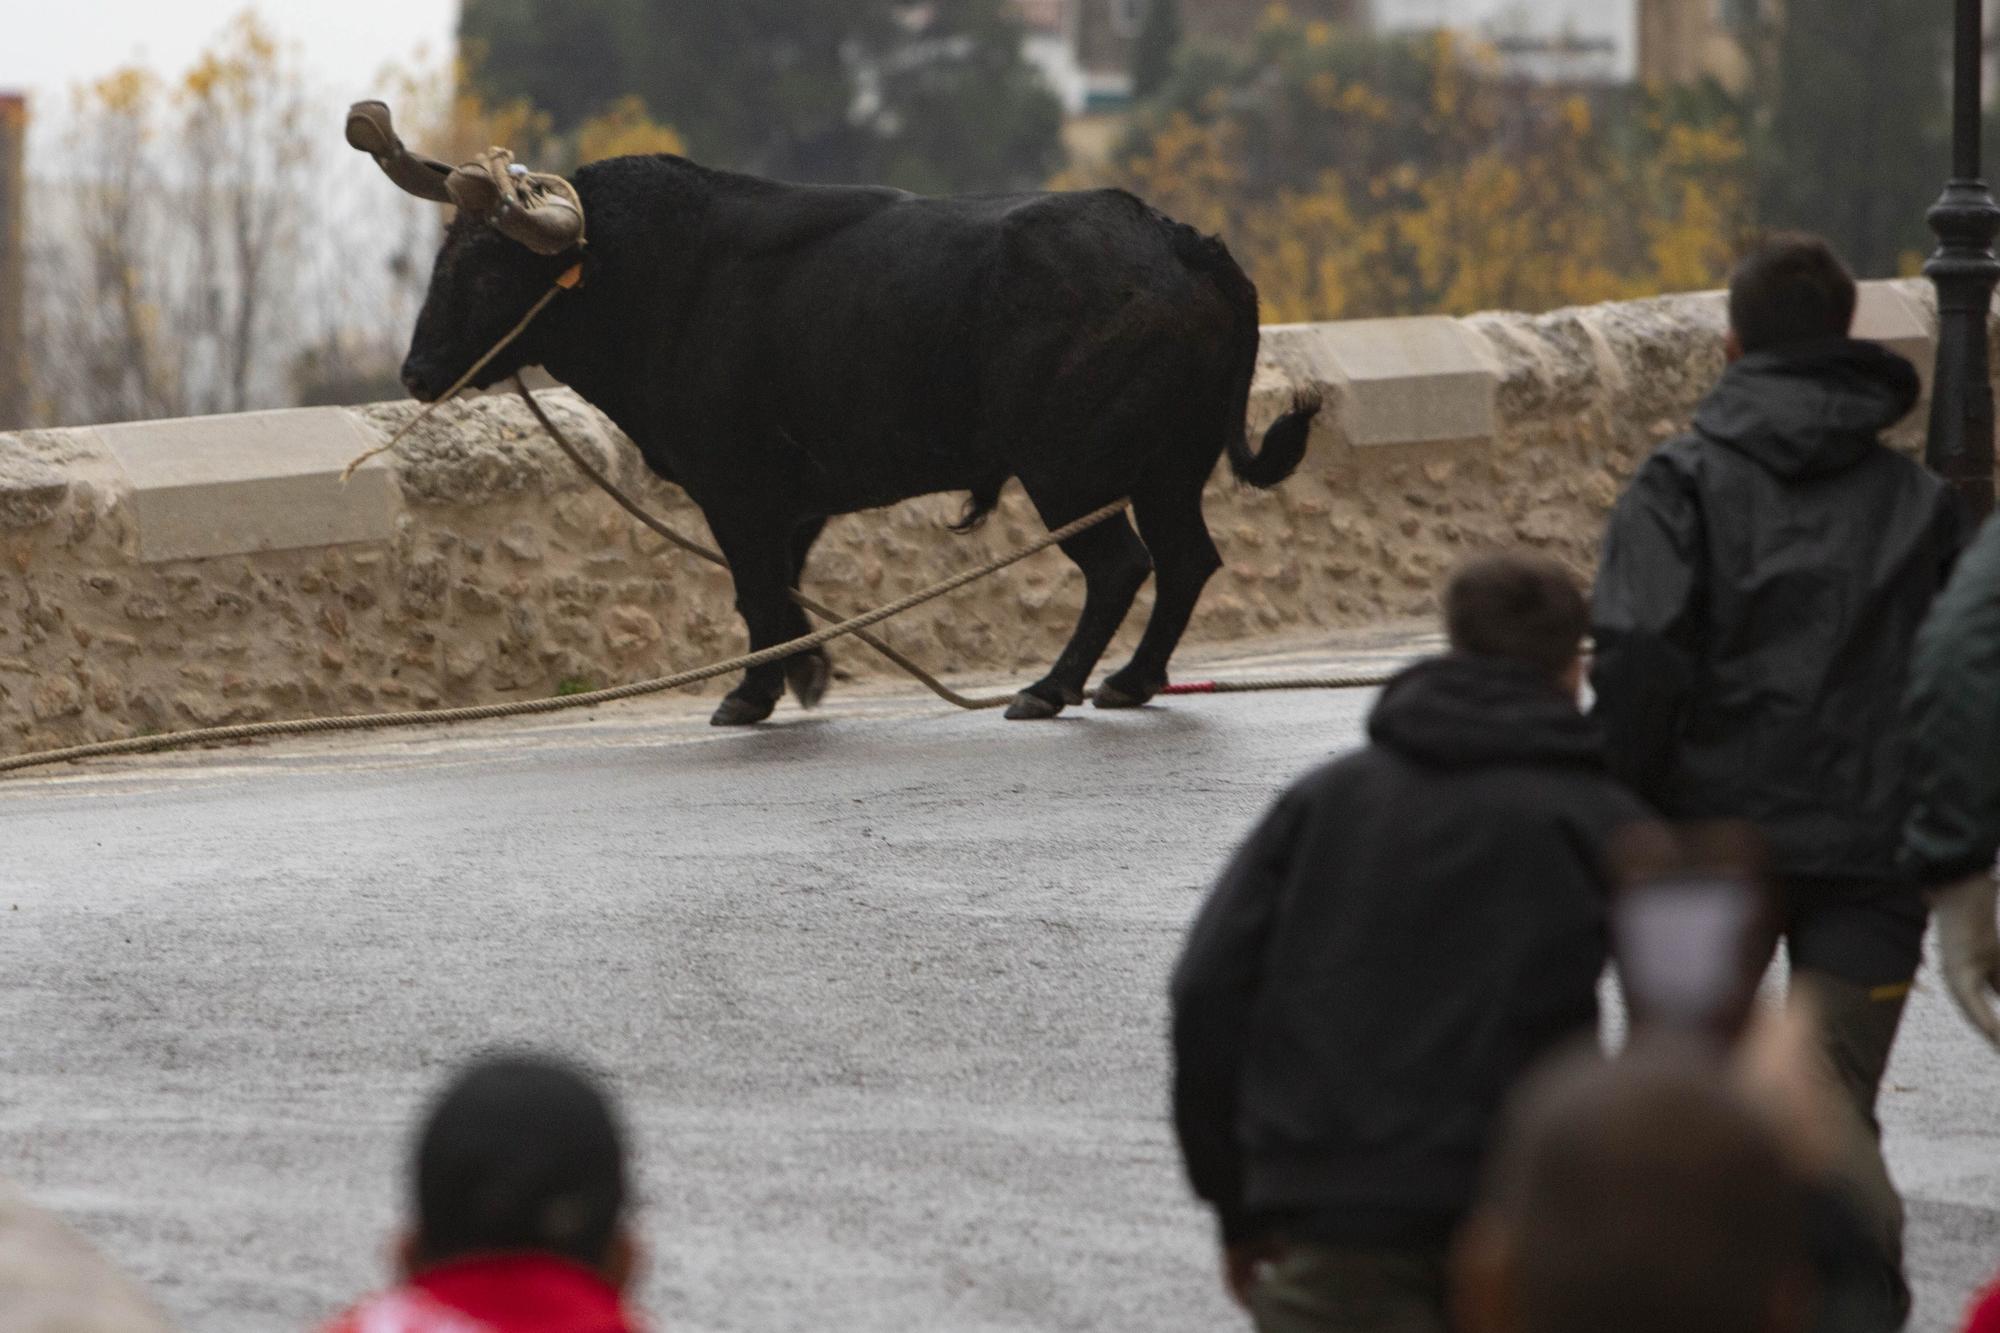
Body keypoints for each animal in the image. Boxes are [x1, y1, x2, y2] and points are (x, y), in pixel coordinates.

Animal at [396, 154, 1320, 720]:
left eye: (486, 267)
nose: (416, 372)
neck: (655, 277)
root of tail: (1181, 242)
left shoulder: (738, 490)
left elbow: (757, 591)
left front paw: (751, 694)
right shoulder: (794, 502)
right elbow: (783, 591)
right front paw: (803, 674)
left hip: (1070, 472)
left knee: (1122, 565)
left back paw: (1051, 688)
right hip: (1170, 468)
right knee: (1186, 560)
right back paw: (1129, 681)